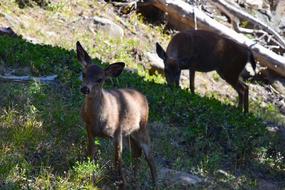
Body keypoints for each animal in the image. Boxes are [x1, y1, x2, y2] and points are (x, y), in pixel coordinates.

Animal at [76, 41, 156, 189]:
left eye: (100, 79)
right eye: (83, 74)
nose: (85, 89)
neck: (98, 119)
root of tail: (143, 97)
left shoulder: (118, 132)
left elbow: (118, 160)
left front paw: (121, 183)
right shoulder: (89, 129)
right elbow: (90, 152)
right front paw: (87, 172)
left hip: (142, 127)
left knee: (150, 157)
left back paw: (154, 183)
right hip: (131, 133)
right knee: (137, 154)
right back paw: (135, 180)